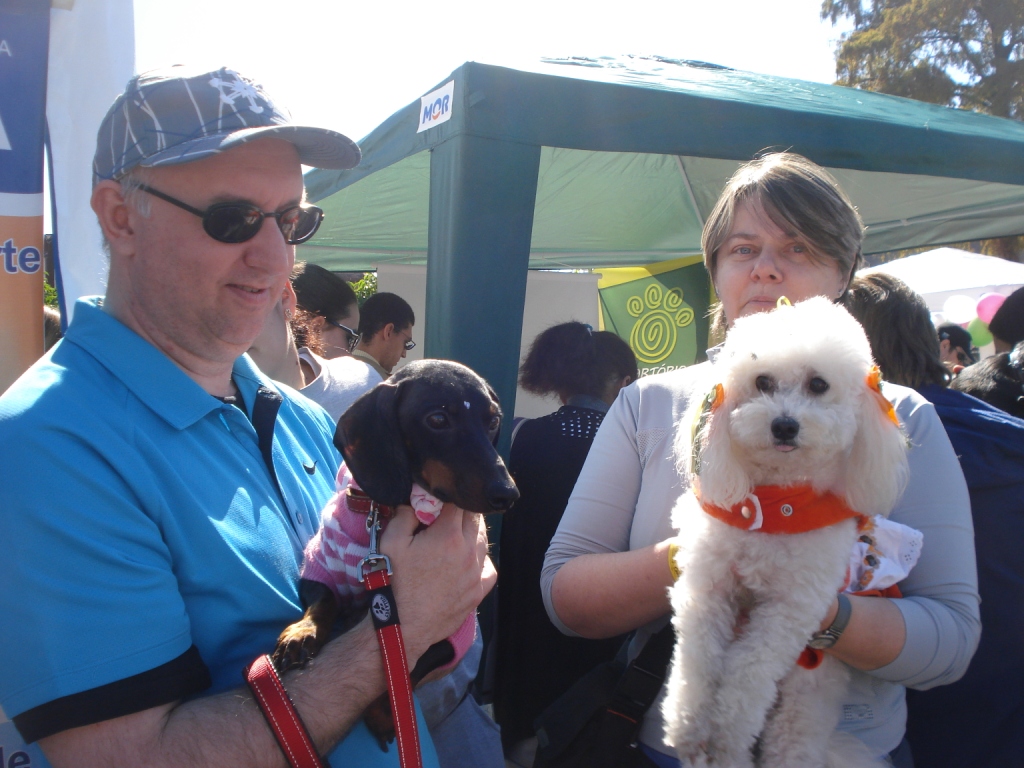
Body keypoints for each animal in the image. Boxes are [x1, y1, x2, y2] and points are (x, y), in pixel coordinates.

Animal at [273, 359, 519, 745]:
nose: (508, 494)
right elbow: (323, 601)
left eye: (492, 419)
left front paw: (384, 713)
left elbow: (413, 663)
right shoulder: (318, 565)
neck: (388, 510)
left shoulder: (452, 629)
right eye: (438, 419)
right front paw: (301, 633)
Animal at [662, 297, 911, 768]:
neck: (777, 503)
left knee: (790, 739)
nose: (784, 426)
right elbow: (698, 661)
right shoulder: (708, 588)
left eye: (818, 384)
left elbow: (747, 670)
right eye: (762, 381)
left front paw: (725, 733)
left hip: (808, 695)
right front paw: (689, 727)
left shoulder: (790, 609)